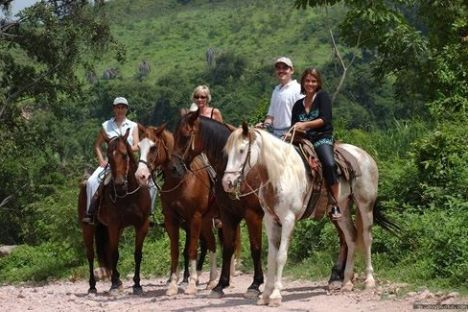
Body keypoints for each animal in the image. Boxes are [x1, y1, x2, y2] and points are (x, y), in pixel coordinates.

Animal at [77, 128, 150, 294]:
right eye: (109, 157)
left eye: (124, 154)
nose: (119, 184)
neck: (128, 194)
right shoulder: (114, 225)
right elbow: (115, 254)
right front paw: (115, 285)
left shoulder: (141, 225)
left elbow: (138, 254)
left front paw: (137, 284)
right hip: (88, 228)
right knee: (90, 255)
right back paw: (93, 286)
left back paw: (116, 281)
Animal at [133, 125, 221, 294]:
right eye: (139, 147)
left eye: (153, 147)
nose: (141, 175)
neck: (181, 179)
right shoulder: (171, 220)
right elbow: (175, 251)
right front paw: (173, 284)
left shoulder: (194, 218)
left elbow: (192, 249)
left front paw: (191, 283)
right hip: (207, 221)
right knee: (212, 243)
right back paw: (212, 281)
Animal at [174, 111, 266, 298]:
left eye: (185, 136)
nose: (174, 168)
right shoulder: (226, 214)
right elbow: (227, 248)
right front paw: (219, 285)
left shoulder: (253, 215)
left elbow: (255, 248)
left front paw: (255, 284)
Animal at [221, 123, 396, 306]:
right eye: (227, 152)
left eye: (241, 150)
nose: (227, 183)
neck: (280, 174)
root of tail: (365, 155)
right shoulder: (270, 220)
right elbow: (271, 257)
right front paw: (265, 295)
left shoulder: (288, 219)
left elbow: (281, 256)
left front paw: (275, 295)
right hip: (342, 208)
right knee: (351, 237)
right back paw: (347, 282)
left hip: (365, 205)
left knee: (367, 238)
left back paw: (369, 280)